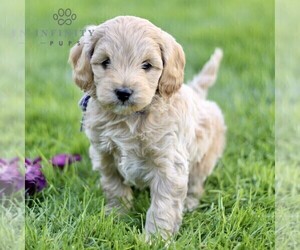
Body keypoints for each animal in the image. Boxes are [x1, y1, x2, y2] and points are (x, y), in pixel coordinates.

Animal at [69, 16, 226, 240]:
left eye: (147, 65)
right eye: (106, 62)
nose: (123, 92)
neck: (130, 118)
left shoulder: (169, 164)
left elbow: (163, 206)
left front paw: (156, 238)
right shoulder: (104, 155)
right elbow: (114, 186)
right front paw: (116, 215)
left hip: (203, 157)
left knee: (196, 183)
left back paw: (190, 203)